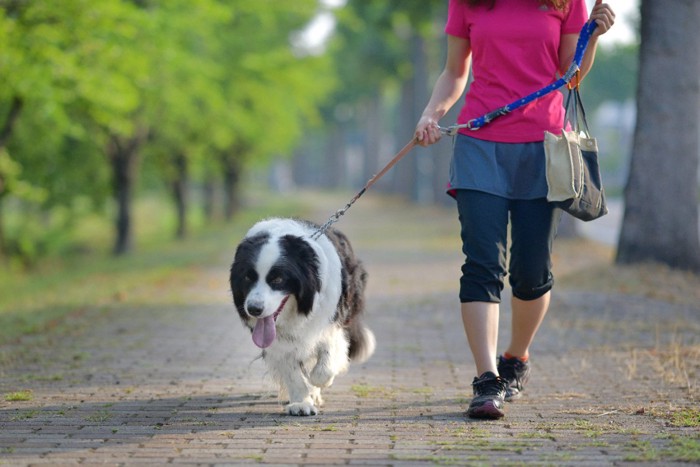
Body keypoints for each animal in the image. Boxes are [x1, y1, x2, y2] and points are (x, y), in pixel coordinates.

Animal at [230, 219, 374, 416]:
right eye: (247, 277)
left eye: (277, 279)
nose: (253, 309)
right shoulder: (278, 342)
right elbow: (292, 371)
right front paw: (301, 403)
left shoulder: (332, 320)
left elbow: (325, 363)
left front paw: (316, 385)